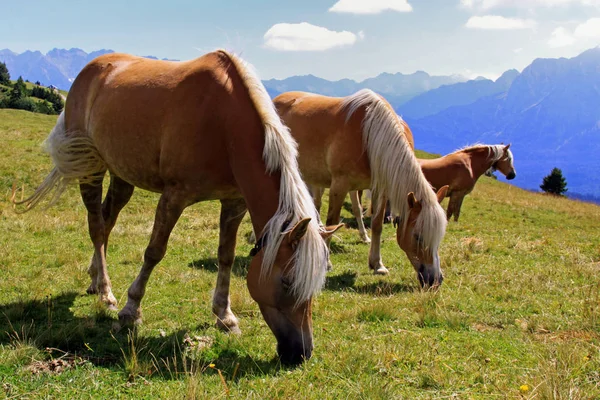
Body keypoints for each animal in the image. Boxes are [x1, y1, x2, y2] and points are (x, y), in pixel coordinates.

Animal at [16, 50, 340, 366]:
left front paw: (225, 316)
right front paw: (130, 310)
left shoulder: (234, 203)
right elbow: (154, 252)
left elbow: (226, 257)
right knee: (96, 227)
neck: (222, 124)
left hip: (122, 175)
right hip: (91, 167)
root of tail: (89, 71)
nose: (301, 352)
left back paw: (96, 279)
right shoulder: (174, 196)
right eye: (286, 281)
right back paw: (106, 293)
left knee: (107, 222)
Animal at [274, 89, 448, 286]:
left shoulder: (380, 190)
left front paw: (377, 264)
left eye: (439, 237)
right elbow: (332, 222)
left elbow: (377, 224)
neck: (369, 136)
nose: (435, 279)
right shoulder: (339, 186)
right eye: (417, 236)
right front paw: (326, 263)